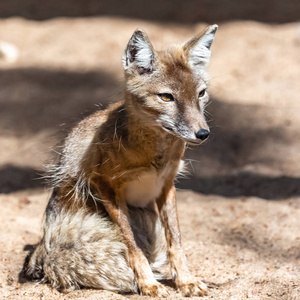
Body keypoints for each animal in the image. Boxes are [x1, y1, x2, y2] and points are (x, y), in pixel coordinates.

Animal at [21, 24, 218, 296]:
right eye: (166, 97)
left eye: (201, 93)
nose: (203, 133)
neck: (154, 155)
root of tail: (44, 242)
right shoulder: (106, 186)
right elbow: (131, 244)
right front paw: (148, 283)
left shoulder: (167, 186)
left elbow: (175, 241)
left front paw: (185, 281)